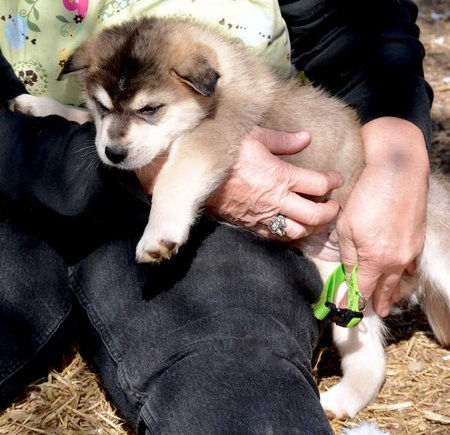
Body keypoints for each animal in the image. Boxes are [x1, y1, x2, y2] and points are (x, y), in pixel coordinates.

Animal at [13, 16, 450, 418]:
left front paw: (158, 234)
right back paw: (341, 401)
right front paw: (40, 105)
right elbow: (84, 122)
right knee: (369, 357)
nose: (114, 156)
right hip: (344, 291)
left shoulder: (211, 138)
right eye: (103, 105)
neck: (223, 87)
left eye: (150, 109)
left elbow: (174, 177)